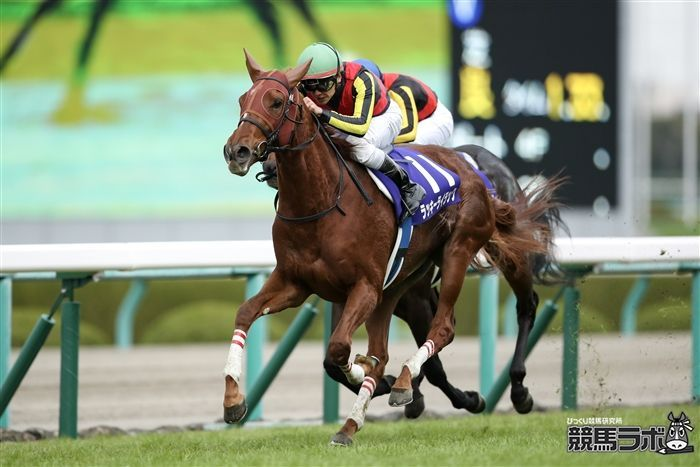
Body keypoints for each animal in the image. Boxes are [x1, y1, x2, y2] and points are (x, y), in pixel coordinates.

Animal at [222, 50, 566, 446]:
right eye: (242, 100)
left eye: (277, 101)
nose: (237, 151)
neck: (322, 203)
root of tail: (471, 167)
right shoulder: (298, 283)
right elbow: (247, 314)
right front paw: (233, 400)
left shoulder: (369, 288)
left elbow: (341, 351)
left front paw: (390, 384)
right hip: (403, 282)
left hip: (467, 250)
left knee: (488, 315)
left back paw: (513, 390)